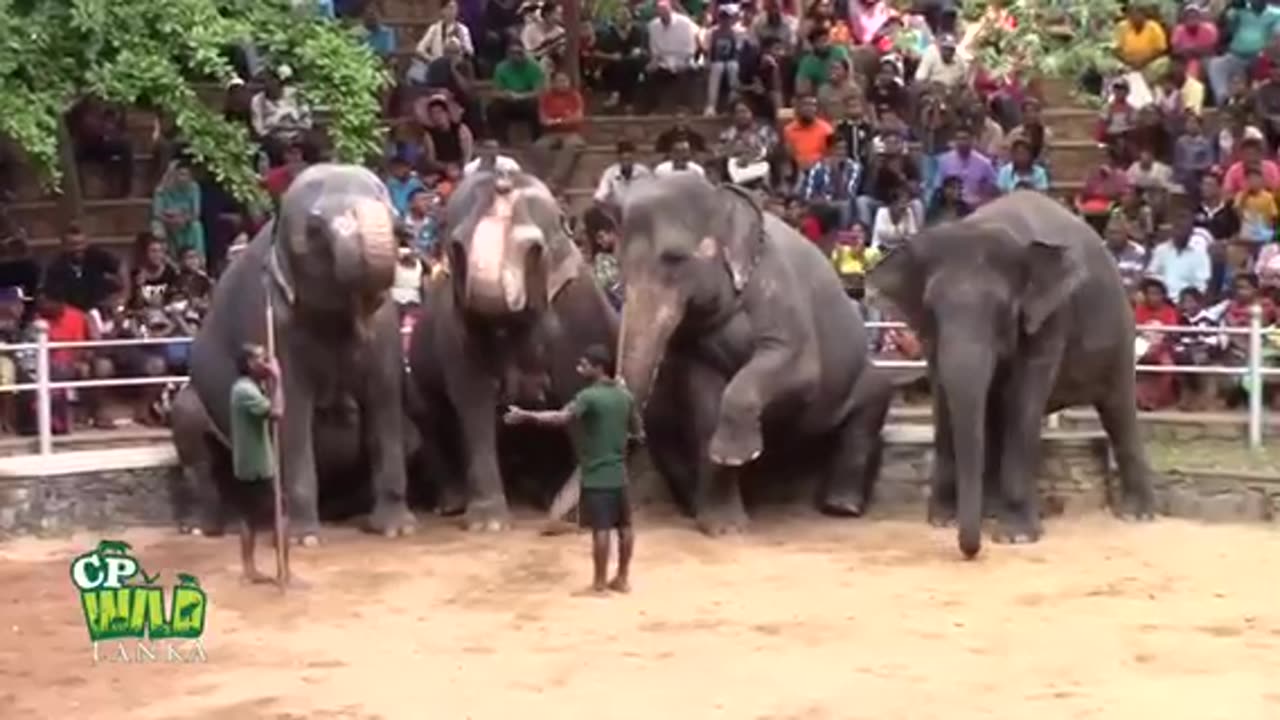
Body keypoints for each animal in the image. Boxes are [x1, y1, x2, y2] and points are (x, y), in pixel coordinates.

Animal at [172, 163, 414, 543]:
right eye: (315, 229)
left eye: (393, 217)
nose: (408, 234)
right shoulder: (273, 323)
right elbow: (291, 415)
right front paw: (304, 540)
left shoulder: (385, 328)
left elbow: (384, 403)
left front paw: (396, 530)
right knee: (191, 433)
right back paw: (207, 528)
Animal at [404, 167, 614, 527]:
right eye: (456, 247)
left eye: (533, 249)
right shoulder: (455, 329)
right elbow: (474, 399)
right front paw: (488, 524)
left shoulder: (578, 313)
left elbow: (575, 391)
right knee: (430, 415)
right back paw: (452, 505)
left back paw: (542, 495)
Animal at [614, 174, 875, 532]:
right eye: (620, 267)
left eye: (675, 258)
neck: (720, 195)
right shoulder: (695, 346)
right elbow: (703, 400)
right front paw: (724, 528)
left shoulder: (778, 289)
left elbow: (801, 371)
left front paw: (734, 456)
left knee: (867, 410)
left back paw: (841, 508)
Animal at [865, 189, 1157, 556]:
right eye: (931, 307)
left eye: (1004, 309)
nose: (970, 551)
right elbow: (944, 395)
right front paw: (943, 521)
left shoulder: (1052, 316)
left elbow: (1023, 401)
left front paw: (1016, 537)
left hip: (1119, 334)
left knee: (1118, 408)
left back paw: (1137, 516)